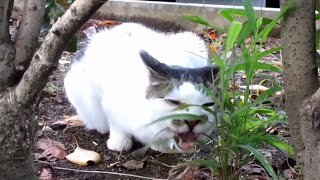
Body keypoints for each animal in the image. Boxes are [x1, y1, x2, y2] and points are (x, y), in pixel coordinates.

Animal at [64, 21, 220, 153]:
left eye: (208, 104)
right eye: (173, 102)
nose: (193, 120)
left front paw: (160, 146)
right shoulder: (109, 101)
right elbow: (115, 123)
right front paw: (119, 143)